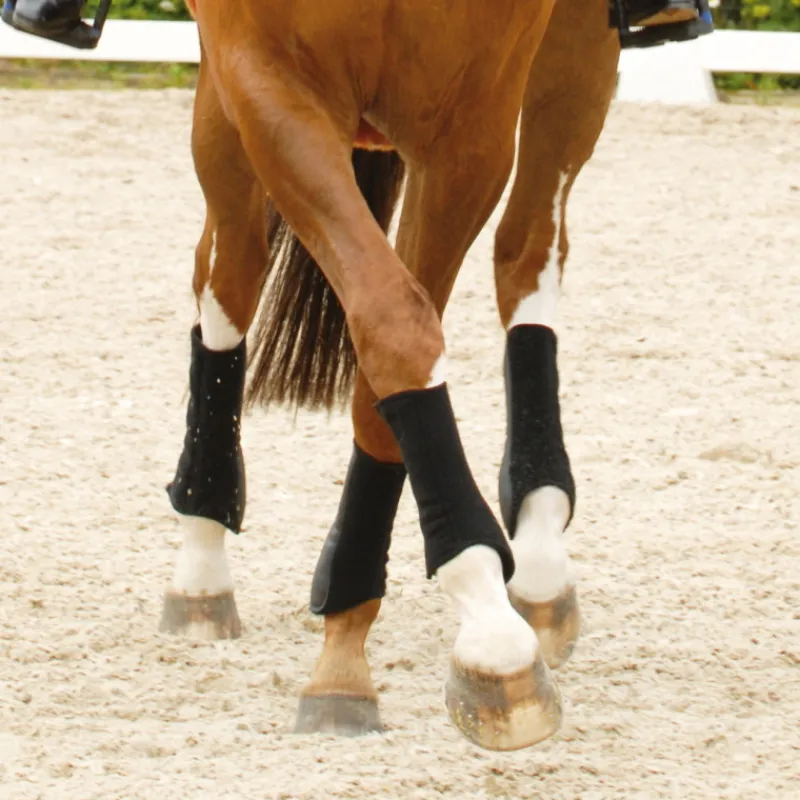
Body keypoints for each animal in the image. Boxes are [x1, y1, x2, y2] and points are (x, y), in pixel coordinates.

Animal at [160, 0, 619, 752]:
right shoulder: (263, 77)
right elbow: (391, 322)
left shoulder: (469, 122)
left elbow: (391, 359)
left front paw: (383, 632)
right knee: (229, 272)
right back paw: (200, 566)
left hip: (577, 48)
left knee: (528, 251)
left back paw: (540, 554)